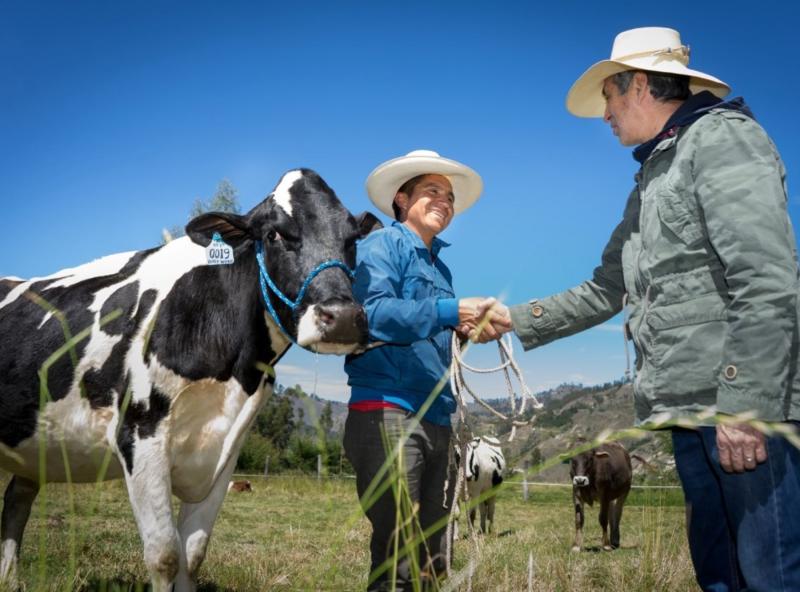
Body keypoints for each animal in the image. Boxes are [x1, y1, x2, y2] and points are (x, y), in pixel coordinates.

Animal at [0, 169, 382, 588]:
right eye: (274, 235)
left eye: (352, 239)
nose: (342, 318)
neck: (230, 374)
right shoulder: (139, 433)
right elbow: (165, 555)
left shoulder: (226, 448)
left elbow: (193, 553)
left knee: (17, 500)